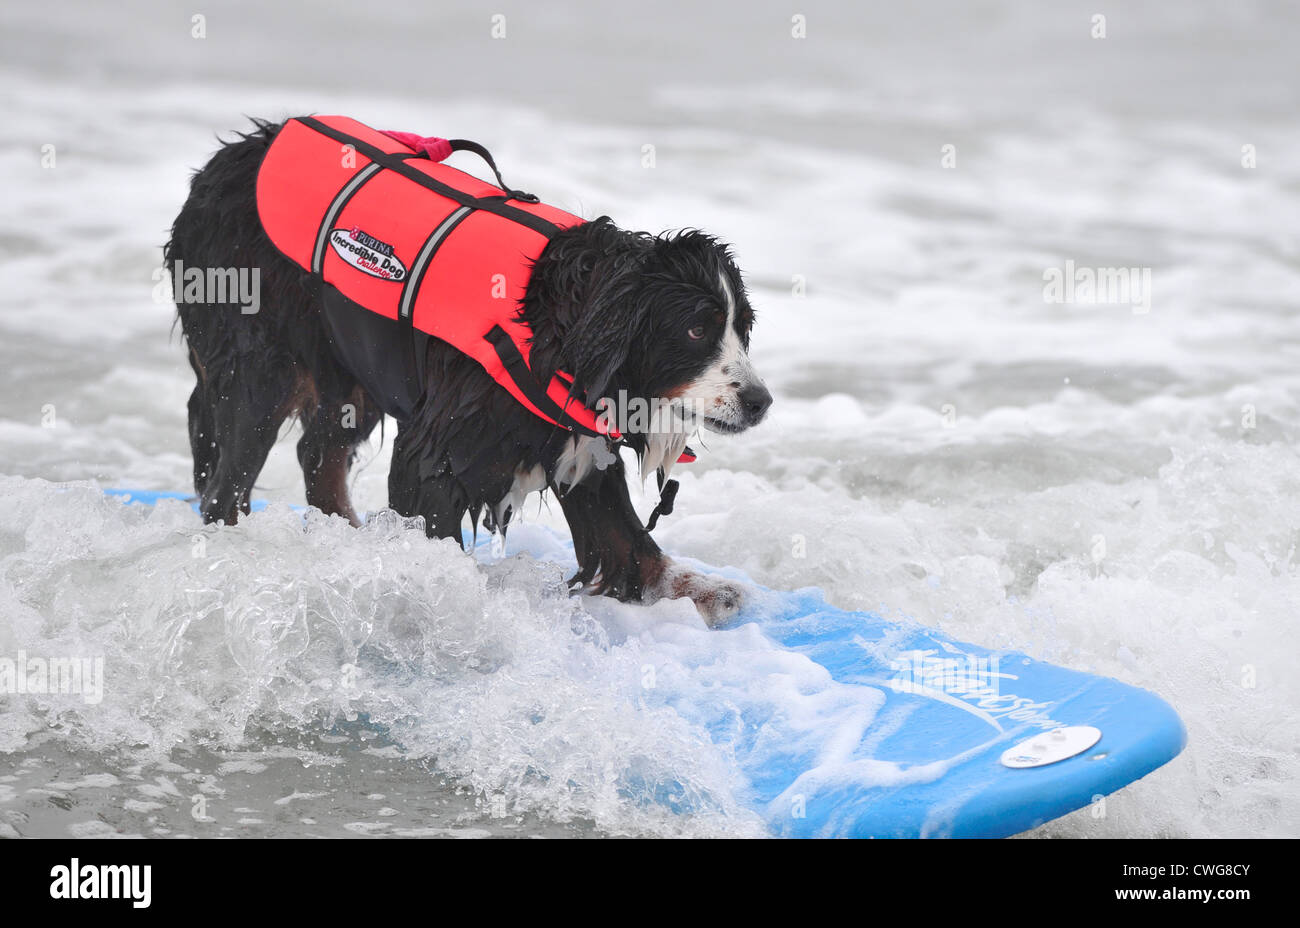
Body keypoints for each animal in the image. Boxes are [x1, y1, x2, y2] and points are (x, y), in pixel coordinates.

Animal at [166, 115, 764, 621]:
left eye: (742, 326)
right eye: (697, 329)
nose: (761, 402)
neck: (555, 330)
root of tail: (224, 162)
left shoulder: (581, 447)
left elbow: (630, 542)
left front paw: (703, 589)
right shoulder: (435, 453)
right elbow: (437, 535)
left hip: (351, 367)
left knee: (318, 455)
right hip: (260, 366)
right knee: (228, 486)